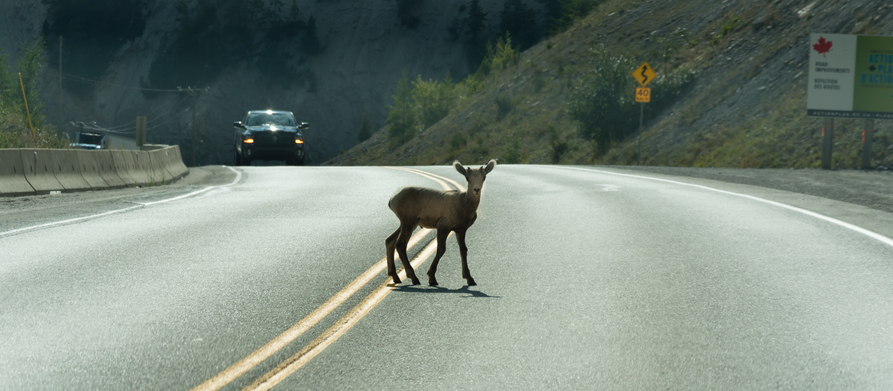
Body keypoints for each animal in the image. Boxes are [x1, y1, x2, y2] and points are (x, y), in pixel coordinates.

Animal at [384, 160, 494, 288]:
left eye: (484, 177)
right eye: (467, 178)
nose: (476, 190)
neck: (464, 205)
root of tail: (392, 200)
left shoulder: (460, 230)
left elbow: (463, 250)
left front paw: (469, 279)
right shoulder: (443, 227)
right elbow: (441, 249)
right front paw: (432, 278)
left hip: (406, 224)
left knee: (390, 240)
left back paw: (396, 277)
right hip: (408, 222)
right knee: (400, 245)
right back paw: (414, 278)